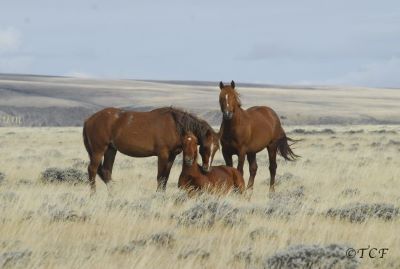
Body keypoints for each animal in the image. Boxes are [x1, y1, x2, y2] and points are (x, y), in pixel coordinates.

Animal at [81, 106, 219, 193]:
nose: (207, 169)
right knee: (92, 170)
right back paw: (93, 194)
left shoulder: (171, 156)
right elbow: (160, 177)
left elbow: (165, 178)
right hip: (98, 150)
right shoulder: (162, 155)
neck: (174, 125)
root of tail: (88, 120)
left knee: (106, 171)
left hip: (111, 150)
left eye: (217, 148)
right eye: (204, 147)